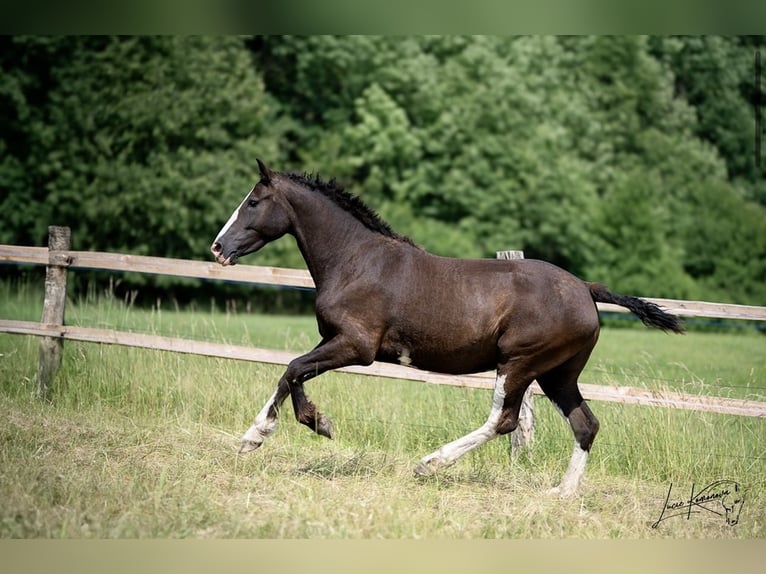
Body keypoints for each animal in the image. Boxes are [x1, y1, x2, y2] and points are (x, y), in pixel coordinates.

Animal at [212, 160, 684, 498]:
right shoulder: (333, 340)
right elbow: (290, 373)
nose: (218, 248)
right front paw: (261, 436)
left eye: (253, 202)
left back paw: (430, 463)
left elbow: (293, 369)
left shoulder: (356, 347)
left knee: (503, 420)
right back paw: (560, 494)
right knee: (585, 424)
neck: (356, 260)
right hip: (557, 375)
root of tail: (587, 289)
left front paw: (306, 426)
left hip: (518, 364)